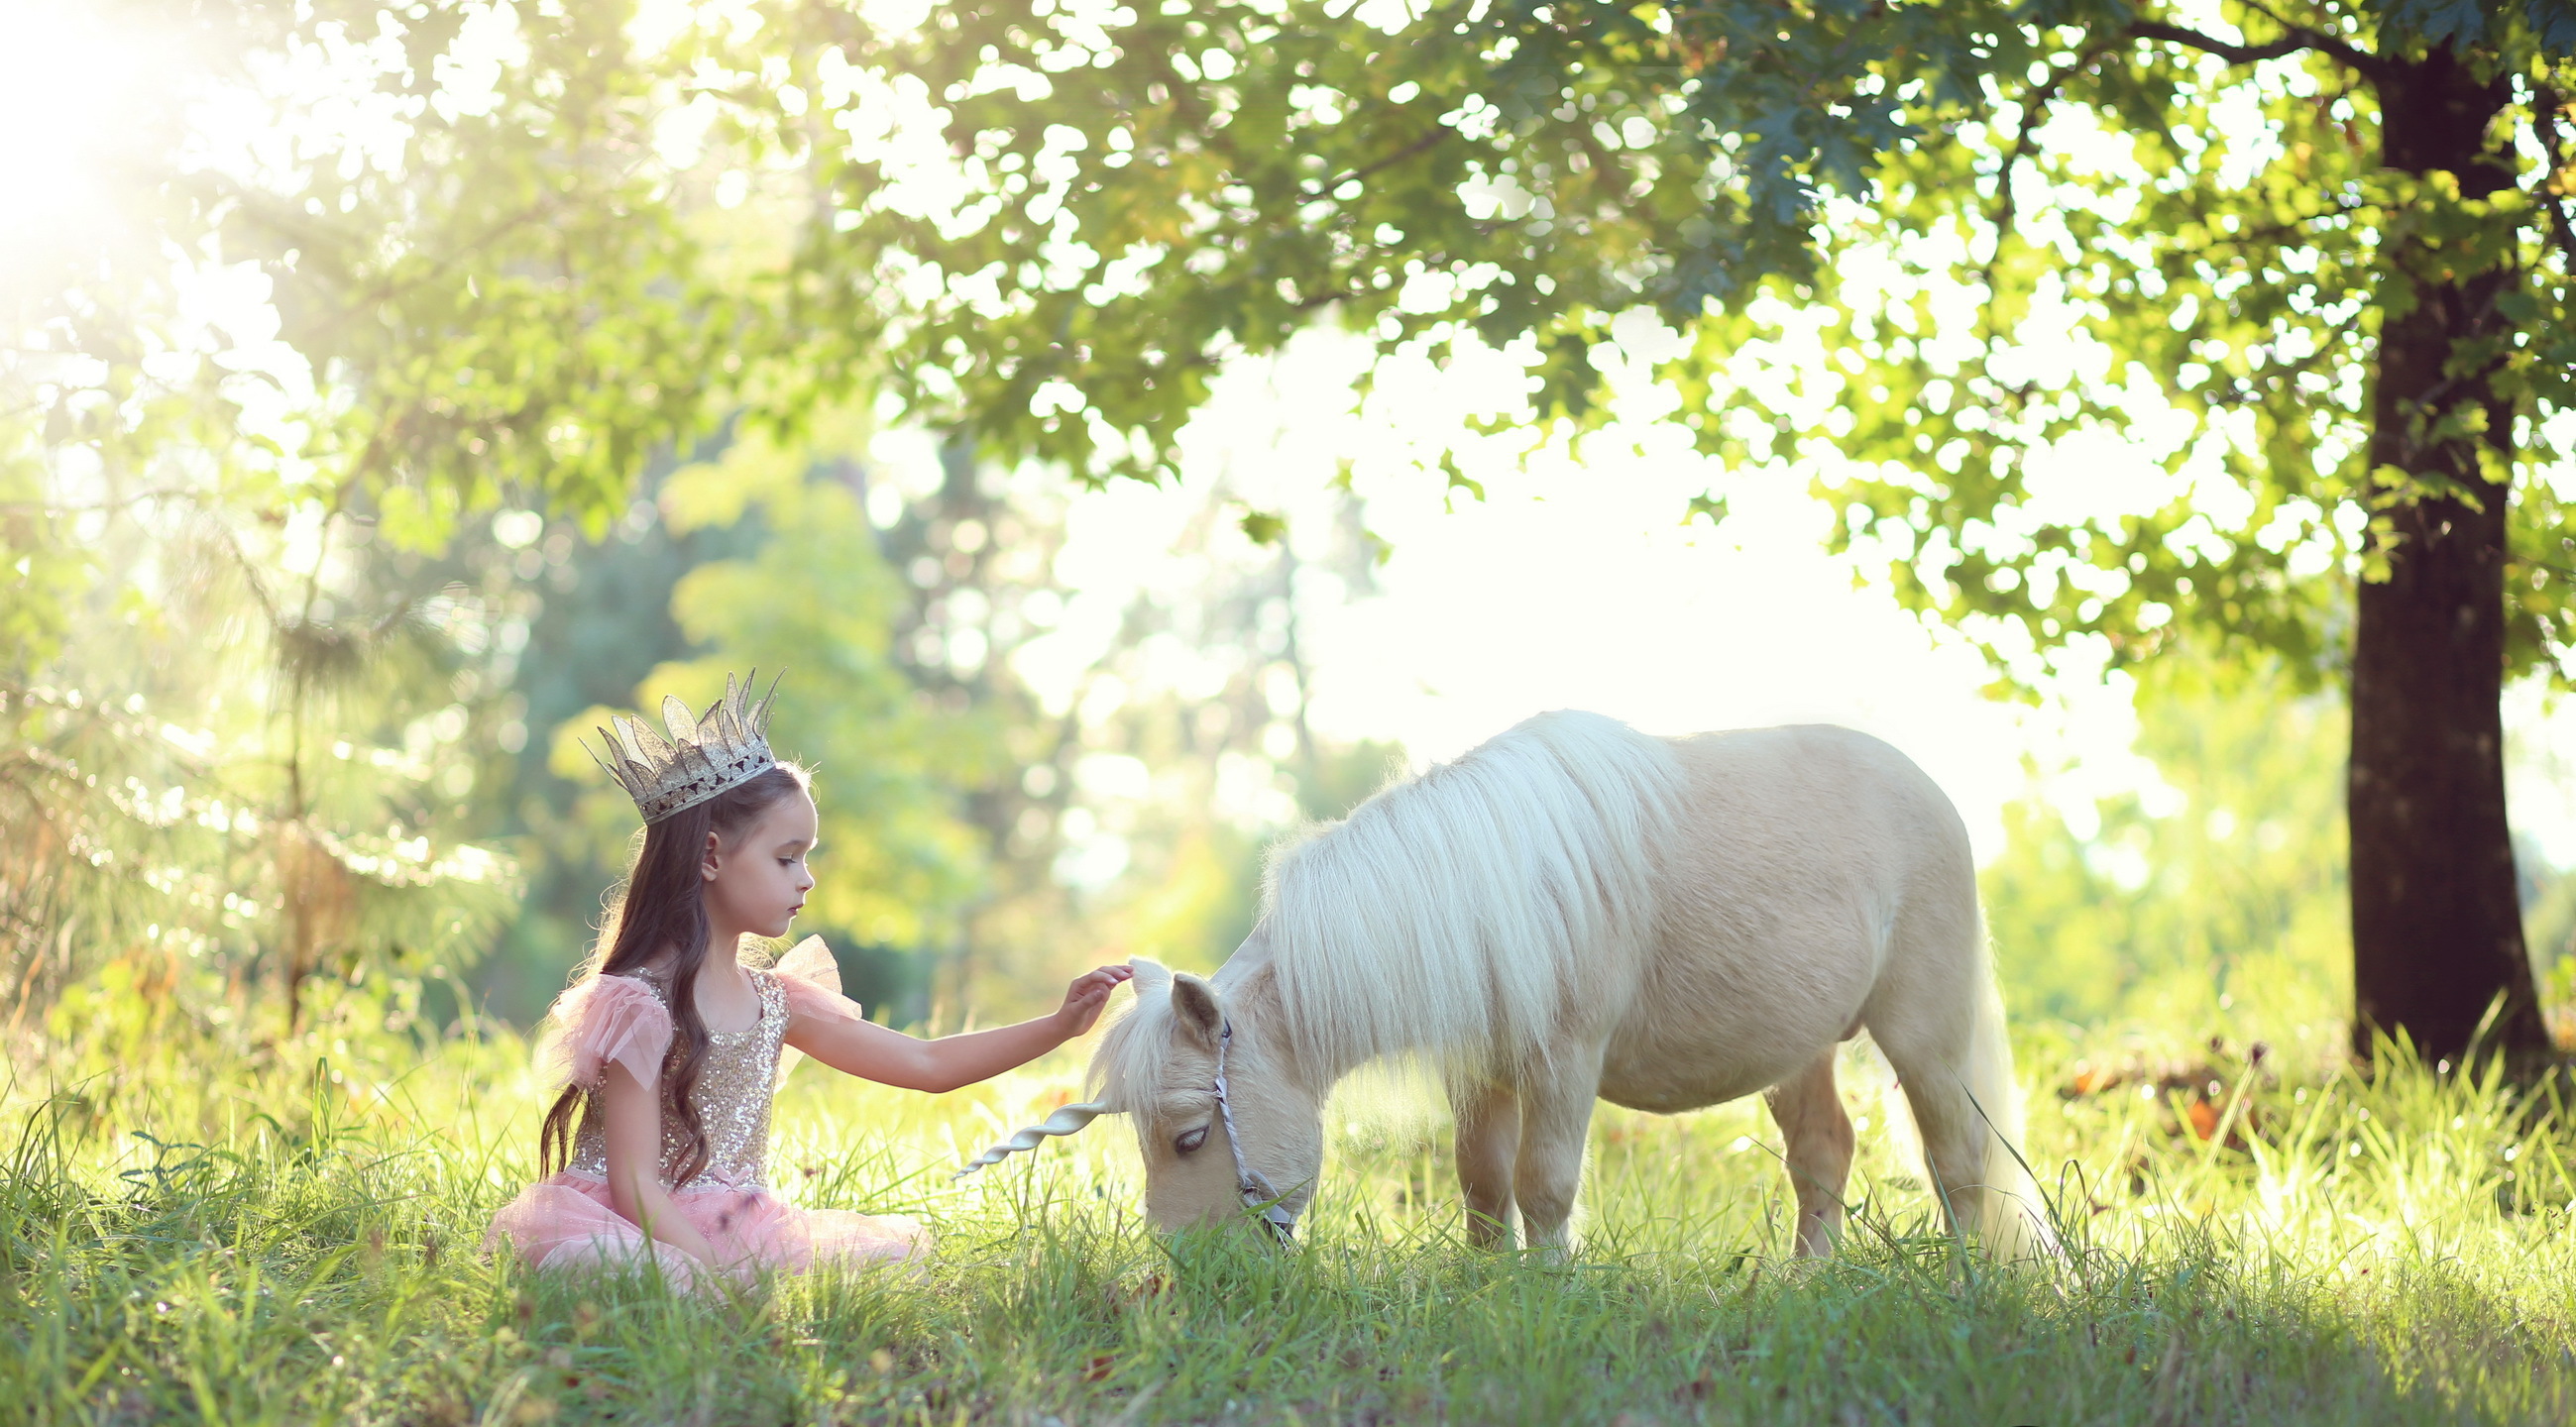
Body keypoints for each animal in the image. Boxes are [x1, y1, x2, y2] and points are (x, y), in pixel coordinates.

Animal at [968, 711, 2050, 1257]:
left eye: (1192, 1136)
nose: (1192, 1277)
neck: (1483, 890)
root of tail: (1929, 790)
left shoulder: (1563, 1062)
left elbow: (1544, 1185)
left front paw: (1549, 1293)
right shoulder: (1480, 1070)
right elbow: (1483, 1185)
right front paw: (1487, 1294)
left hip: (1924, 1038)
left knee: (1957, 1167)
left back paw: (1967, 1288)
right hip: (1801, 1050)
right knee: (1823, 1157)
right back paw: (1805, 1290)